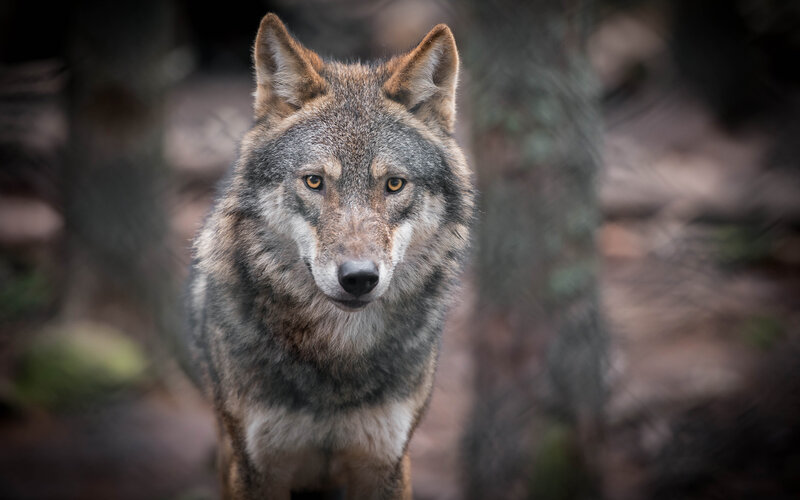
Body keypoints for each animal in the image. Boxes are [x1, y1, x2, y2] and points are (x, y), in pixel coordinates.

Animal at [186, 13, 474, 499]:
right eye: (314, 181)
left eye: (394, 184)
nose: (358, 278)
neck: (337, 356)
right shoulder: (257, 467)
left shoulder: (386, 463)